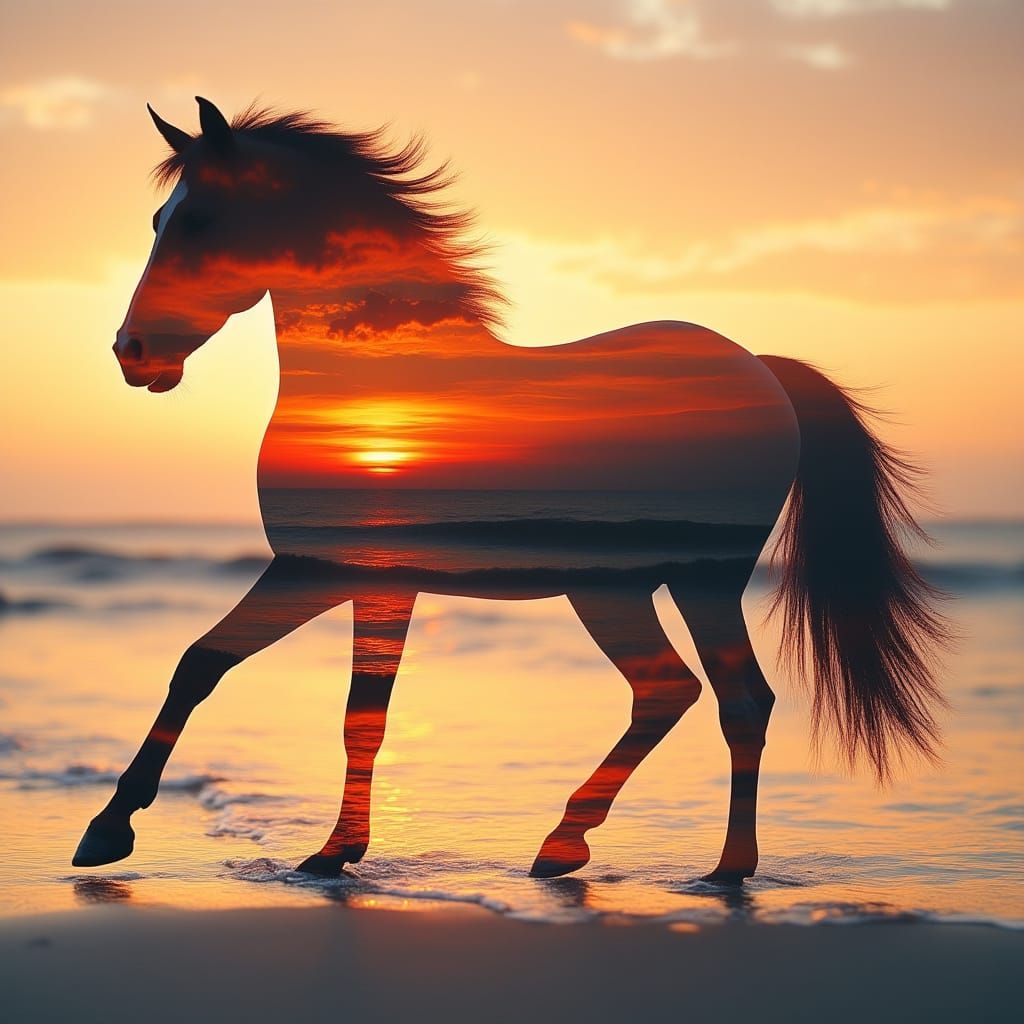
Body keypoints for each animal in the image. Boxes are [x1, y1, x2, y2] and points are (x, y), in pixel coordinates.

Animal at [73, 97, 947, 883]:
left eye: (198, 221)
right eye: (158, 220)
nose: (132, 352)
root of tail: (763, 370)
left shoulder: (318, 570)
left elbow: (239, 676)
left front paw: (114, 833)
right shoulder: (361, 579)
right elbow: (301, 695)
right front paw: (324, 851)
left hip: (702, 581)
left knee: (737, 699)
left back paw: (720, 869)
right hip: (615, 589)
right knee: (670, 690)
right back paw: (568, 849)